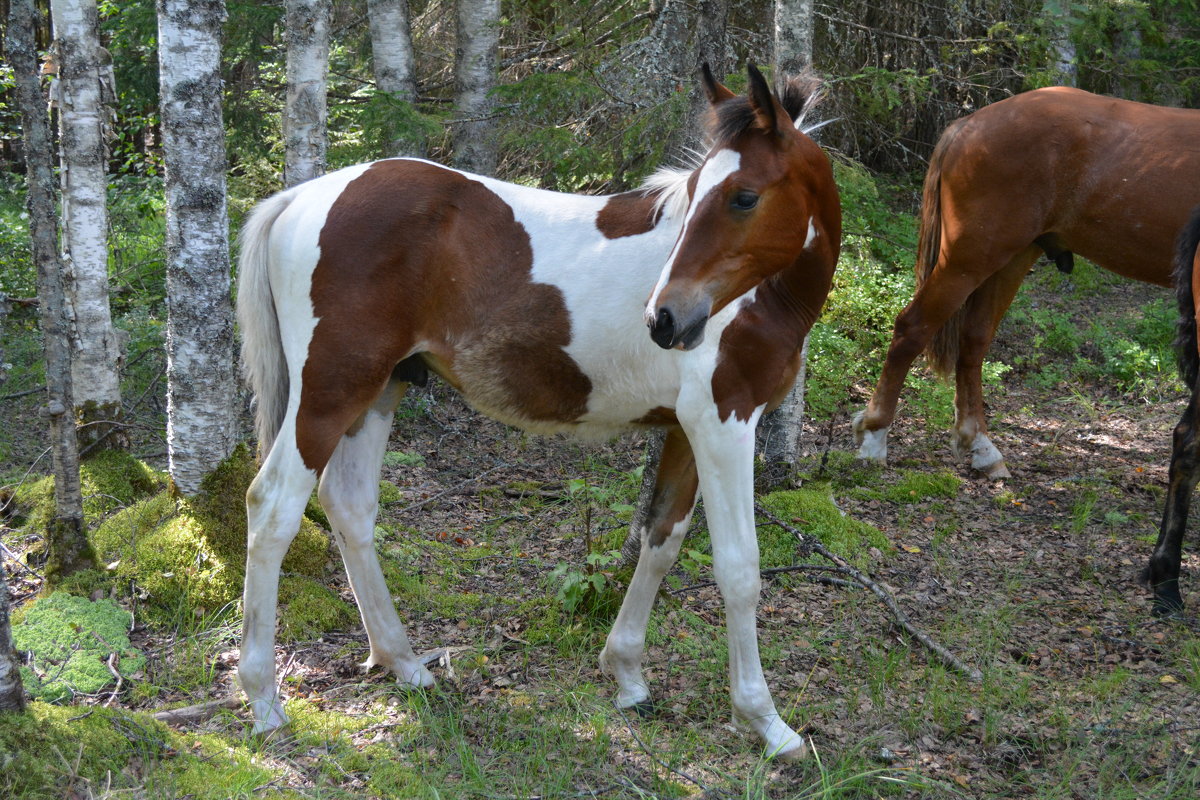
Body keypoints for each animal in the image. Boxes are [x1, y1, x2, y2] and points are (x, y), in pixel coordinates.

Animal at [231, 65, 835, 762]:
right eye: (701, 191)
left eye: (742, 197)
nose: (665, 319)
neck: (760, 297)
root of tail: (301, 199)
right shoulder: (725, 422)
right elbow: (739, 568)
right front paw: (765, 721)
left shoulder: (686, 432)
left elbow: (660, 542)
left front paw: (627, 675)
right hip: (331, 392)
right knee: (273, 506)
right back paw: (264, 700)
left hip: (380, 391)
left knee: (349, 506)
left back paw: (403, 663)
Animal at [854, 86, 1200, 474]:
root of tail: (967, 124)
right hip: (969, 258)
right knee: (912, 328)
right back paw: (875, 438)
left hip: (1011, 260)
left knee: (973, 342)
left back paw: (982, 447)